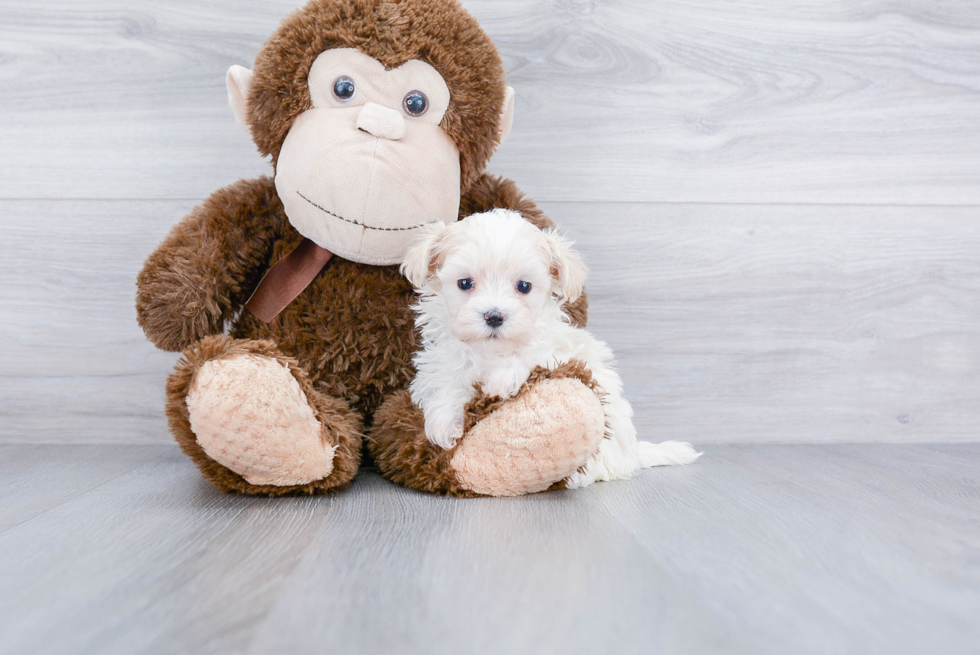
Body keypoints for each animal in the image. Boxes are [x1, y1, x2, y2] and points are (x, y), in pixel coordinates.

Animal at [402, 209, 700, 486]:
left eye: (524, 286)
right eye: (465, 283)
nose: (494, 316)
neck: (490, 352)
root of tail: (633, 454)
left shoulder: (558, 351)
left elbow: (531, 354)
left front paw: (501, 380)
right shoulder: (445, 359)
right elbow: (447, 381)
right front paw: (442, 424)